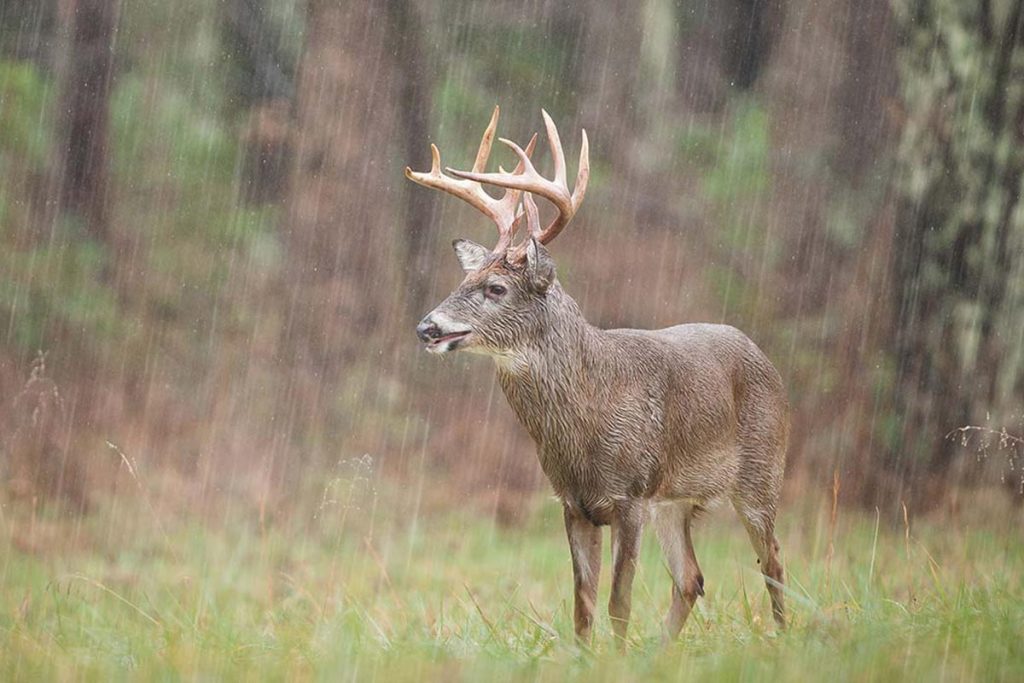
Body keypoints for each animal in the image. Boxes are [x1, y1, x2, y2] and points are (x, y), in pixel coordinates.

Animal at [406, 107, 789, 647]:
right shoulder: (572, 502)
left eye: (496, 288)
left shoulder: (631, 495)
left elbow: (618, 602)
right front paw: (592, 656)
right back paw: (662, 652)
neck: (588, 413)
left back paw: (783, 638)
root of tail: (764, 357)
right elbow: (583, 607)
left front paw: (619, 655)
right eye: (464, 279)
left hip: (761, 472)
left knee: (772, 562)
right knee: (691, 578)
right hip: (675, 499)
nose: (427, 327)